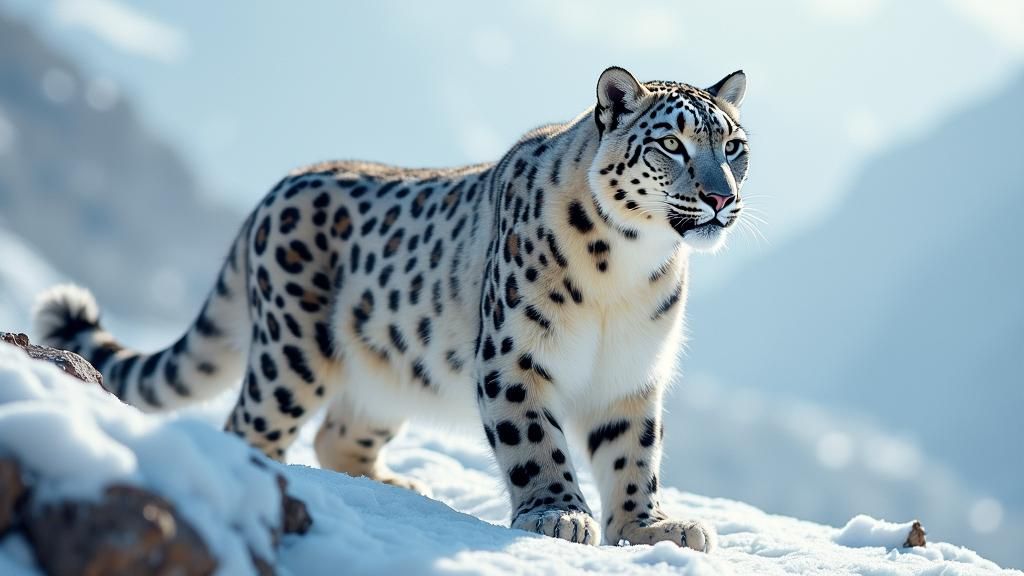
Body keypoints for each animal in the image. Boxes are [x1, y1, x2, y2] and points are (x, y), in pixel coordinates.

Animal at [34, 66, 750, 551]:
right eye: (672, 145)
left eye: (734, 146)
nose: (721, 197)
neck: (626, 271)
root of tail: (273, 191)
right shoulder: (514, 356)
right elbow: (535, 441)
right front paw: (558, 514)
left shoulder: (633, 375)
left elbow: (634, 456)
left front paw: (652, 527)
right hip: (290, 356)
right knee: (251, 425)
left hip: (389, 373)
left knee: (337, 433)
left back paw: (399, 486)